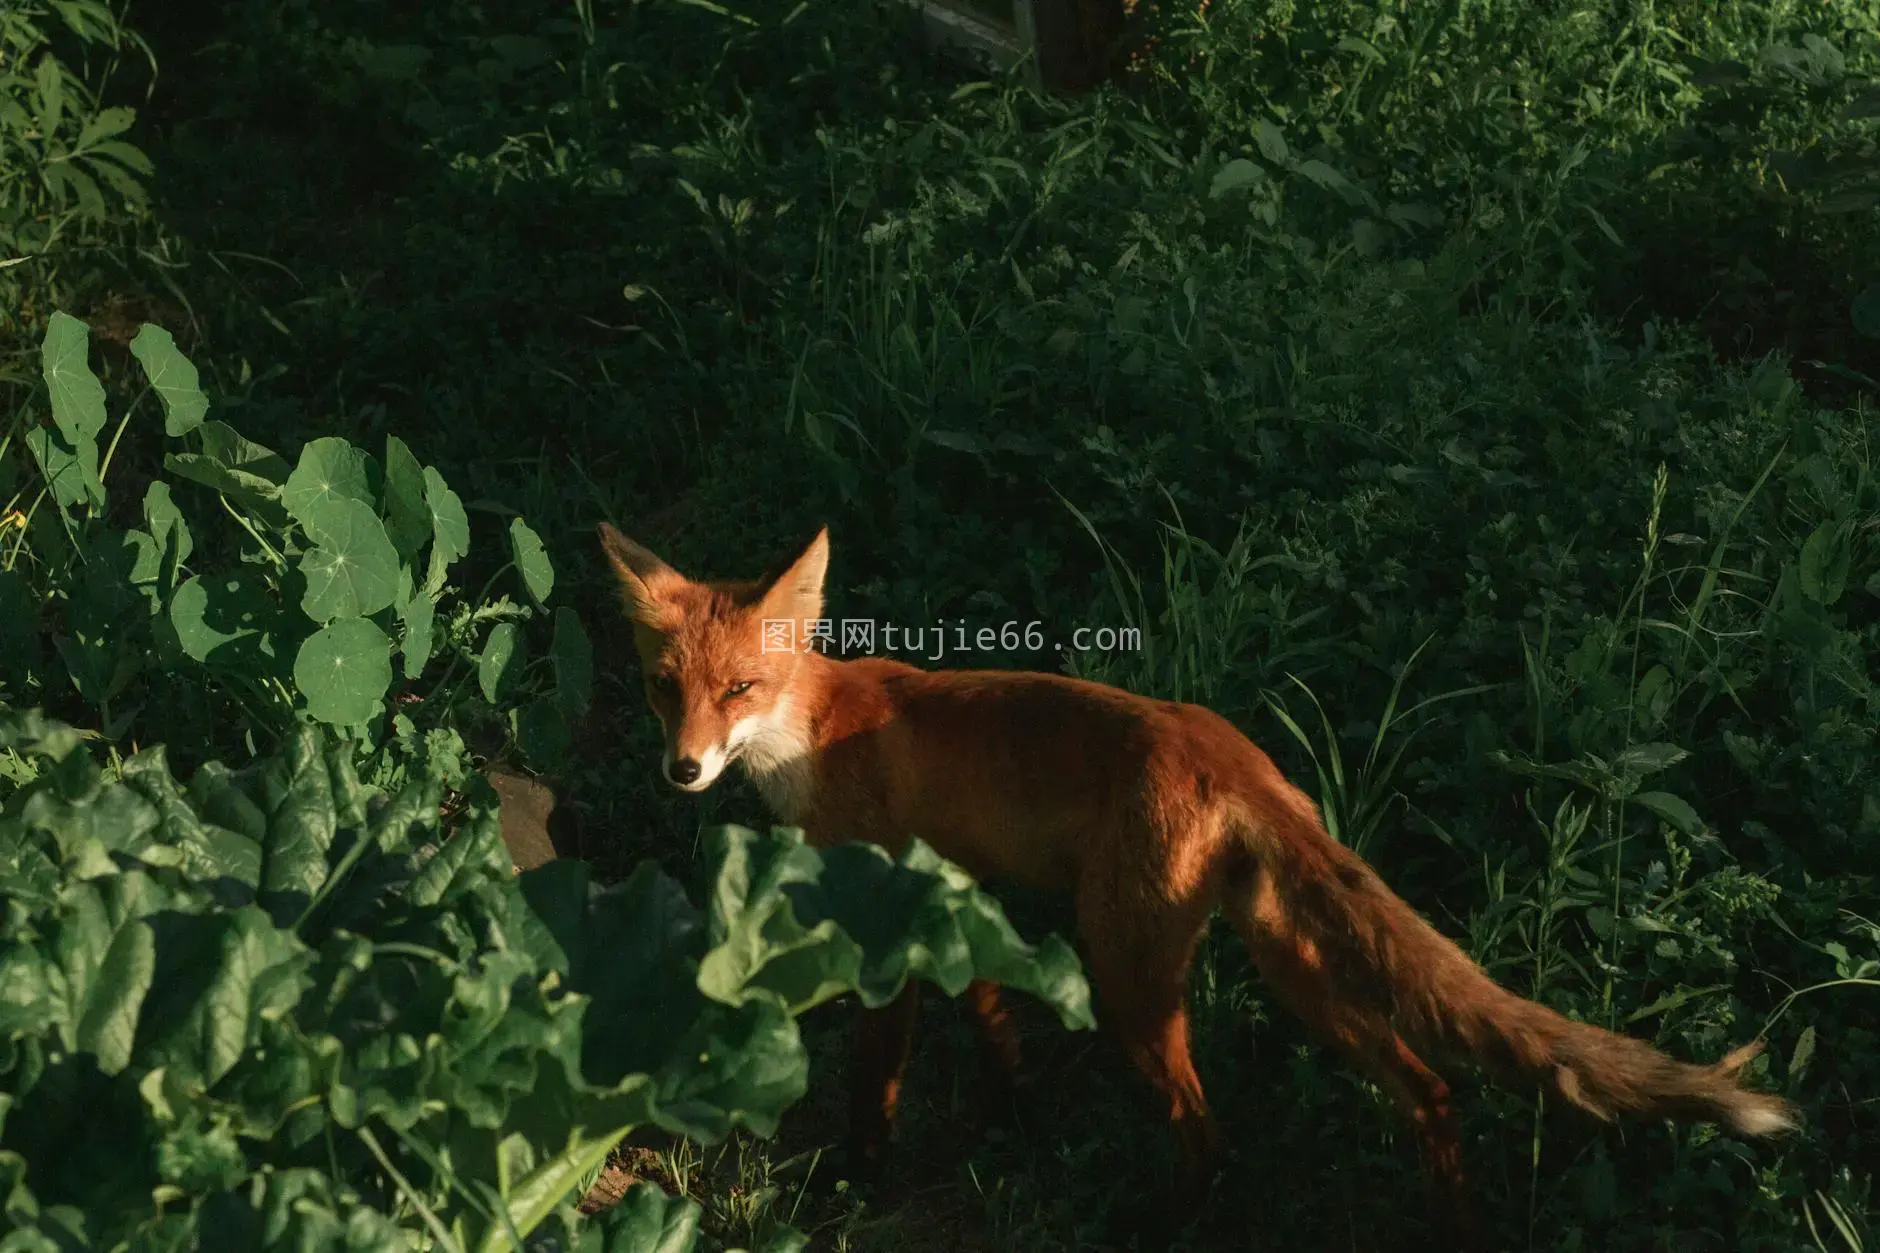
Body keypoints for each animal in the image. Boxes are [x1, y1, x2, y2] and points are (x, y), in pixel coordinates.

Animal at [594, 515, 1797, 1241]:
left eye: (740, 688)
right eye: (664, 689)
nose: (683, 768)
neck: (812, 735)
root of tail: (1221, 746)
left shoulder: (885, 926)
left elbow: (872, 1082)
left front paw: (857, 1179)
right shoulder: (954, 897)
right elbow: (992, 1018)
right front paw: (1010, 1109)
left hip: (1129, 980)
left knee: (1211, 1132)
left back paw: (1162, 1221)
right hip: (1293, 969)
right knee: (1430, 1084)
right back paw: (1453, 1225)